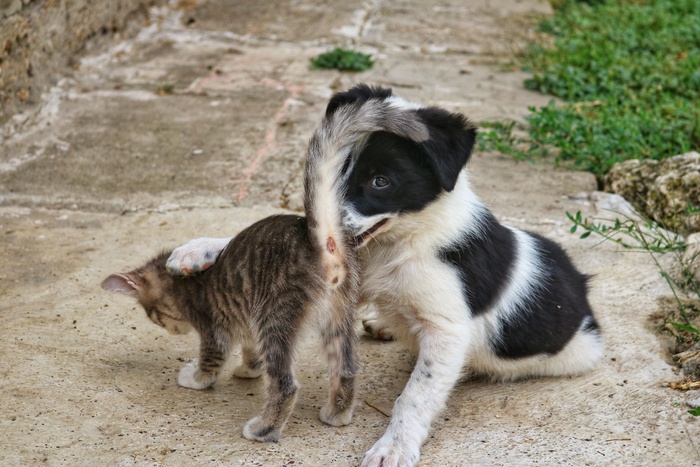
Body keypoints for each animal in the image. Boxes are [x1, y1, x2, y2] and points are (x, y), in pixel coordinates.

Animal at [101, 215, 358, 442]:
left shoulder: (214, 329)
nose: (173, 331)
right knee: (345, 368)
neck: (177, 280)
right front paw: (249, 368)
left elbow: (210, 360)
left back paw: (263, 430)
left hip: (275, 316)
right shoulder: (247, 317)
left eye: (155, 318)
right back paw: (336, 414)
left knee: (285, 385)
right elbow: (250, 347)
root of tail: (318, 244)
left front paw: (196, 379)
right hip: (337, 317)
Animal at [168, 84, 600, 467]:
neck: (400, 241)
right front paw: (200, 248)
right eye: (334, 173)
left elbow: (415, 395)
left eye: (380, 182)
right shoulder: (346, 281)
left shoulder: (446, 329)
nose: (319, 231)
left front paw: (394, 446)